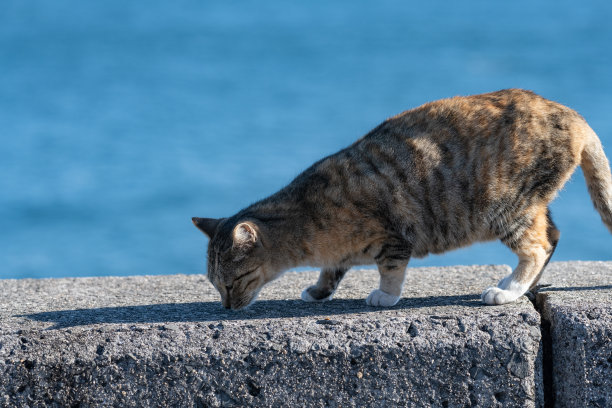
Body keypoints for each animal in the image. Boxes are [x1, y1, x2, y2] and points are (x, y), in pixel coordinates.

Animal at [194, 89, 612, 310]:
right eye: (215, 285)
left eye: (231, 282)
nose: (227, 308)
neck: (305, 216)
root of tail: (573, 115)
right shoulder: (339, 254)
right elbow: (331, 270)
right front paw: (318, 290)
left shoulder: (392, 236)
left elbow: (391, 269)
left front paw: (385, 296)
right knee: (553, 236)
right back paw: (518, 285)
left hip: (508, 208)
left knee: (538, 246)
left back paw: (507, 290)